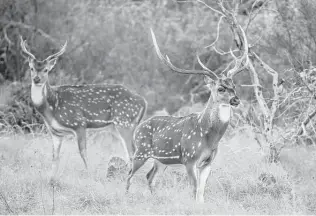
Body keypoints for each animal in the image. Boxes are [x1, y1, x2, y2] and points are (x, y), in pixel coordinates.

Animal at [20, 38, 147, 183]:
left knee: (133, 152)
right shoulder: (55, 132)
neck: (52, 107)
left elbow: (83, 153)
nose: (36, 79)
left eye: (46, 70)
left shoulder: (79, 123)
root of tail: (144, 101)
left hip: (126, 122)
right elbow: (55, 156)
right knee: (130, 152)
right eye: (31, 68)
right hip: (116, 126)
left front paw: (89, 176)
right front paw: (51, 180)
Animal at [126, 28, 249, 202]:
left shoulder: (208, 162)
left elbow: (201, 192)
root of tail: (137, 128)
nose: (236, 99)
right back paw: (126, 196)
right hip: (140, 151)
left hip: (161, 160)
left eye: (234, 86)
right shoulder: (189, 158)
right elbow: (194, 189)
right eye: (220, 88)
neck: (209, 138)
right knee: (129, 175)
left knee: (150, 176)